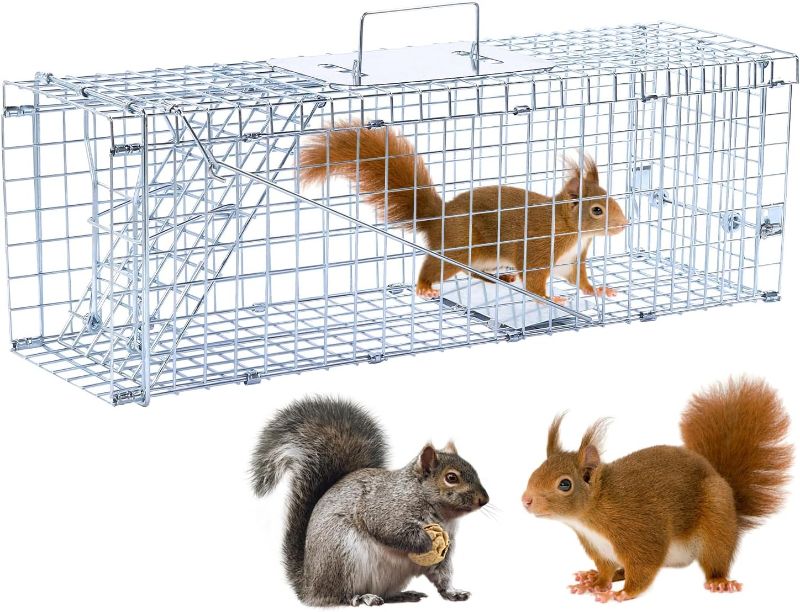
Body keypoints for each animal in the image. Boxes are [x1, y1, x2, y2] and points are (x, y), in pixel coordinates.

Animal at [251, 396, 489, 607]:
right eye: (451, 478)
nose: (484, 500)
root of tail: (309, 586)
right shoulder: (385, 508)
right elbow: (390, 530)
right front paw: (426, 542)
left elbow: (442, 572)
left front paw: (453, 592)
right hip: (343, 558)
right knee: (341, 595)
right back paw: (362, 597)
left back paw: (402, 595)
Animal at [300, 122, 628, 303]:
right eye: (597, 210)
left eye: (612, 200)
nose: (625, 224)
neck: (572, 230)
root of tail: (440, 217)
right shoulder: (538, 247)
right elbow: (534, 281)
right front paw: (551, 298)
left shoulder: (571, 260)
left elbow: (579, 280)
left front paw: (599, 290)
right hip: (459, 246)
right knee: (434, 265)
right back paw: (425, 287)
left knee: (473, 272)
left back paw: (500, 279)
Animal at [522, 376, 793, 602]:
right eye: (537, 469)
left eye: (565, 484)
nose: (525, 500)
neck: (592, 514)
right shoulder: (599, 548)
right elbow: (606, 570)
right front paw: (596, 583)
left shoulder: (639, 532)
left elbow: (644, 566)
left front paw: (623, 594)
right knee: (621, 569)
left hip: (716, 523)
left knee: (715, 558)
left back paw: (719, 581)